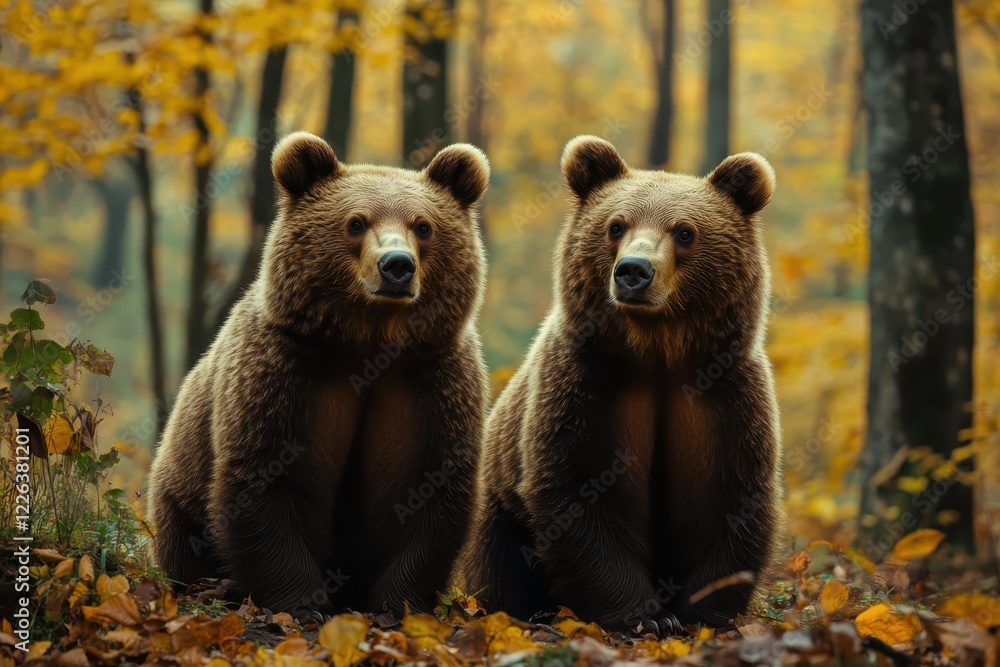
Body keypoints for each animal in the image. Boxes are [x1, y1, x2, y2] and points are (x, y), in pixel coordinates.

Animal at [147, 131, 490, 618]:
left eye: (423, 226)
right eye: (356, 222)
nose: (397, 265)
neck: (368, 342)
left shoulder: (431, 383)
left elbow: (427, 488)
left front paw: (398, 602)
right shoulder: (284, 373)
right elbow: (266, 480)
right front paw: (301, 601)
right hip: (177, 490)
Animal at [453, 135, 783, 632]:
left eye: (684, 231)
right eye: (615, 225)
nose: (634, 271)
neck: (657, 351)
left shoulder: (722, 394)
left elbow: (730, 497)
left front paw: (704, 611)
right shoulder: (589, 385)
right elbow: (580, 494)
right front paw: (647, 617)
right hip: (498, 501)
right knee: (498, 563)